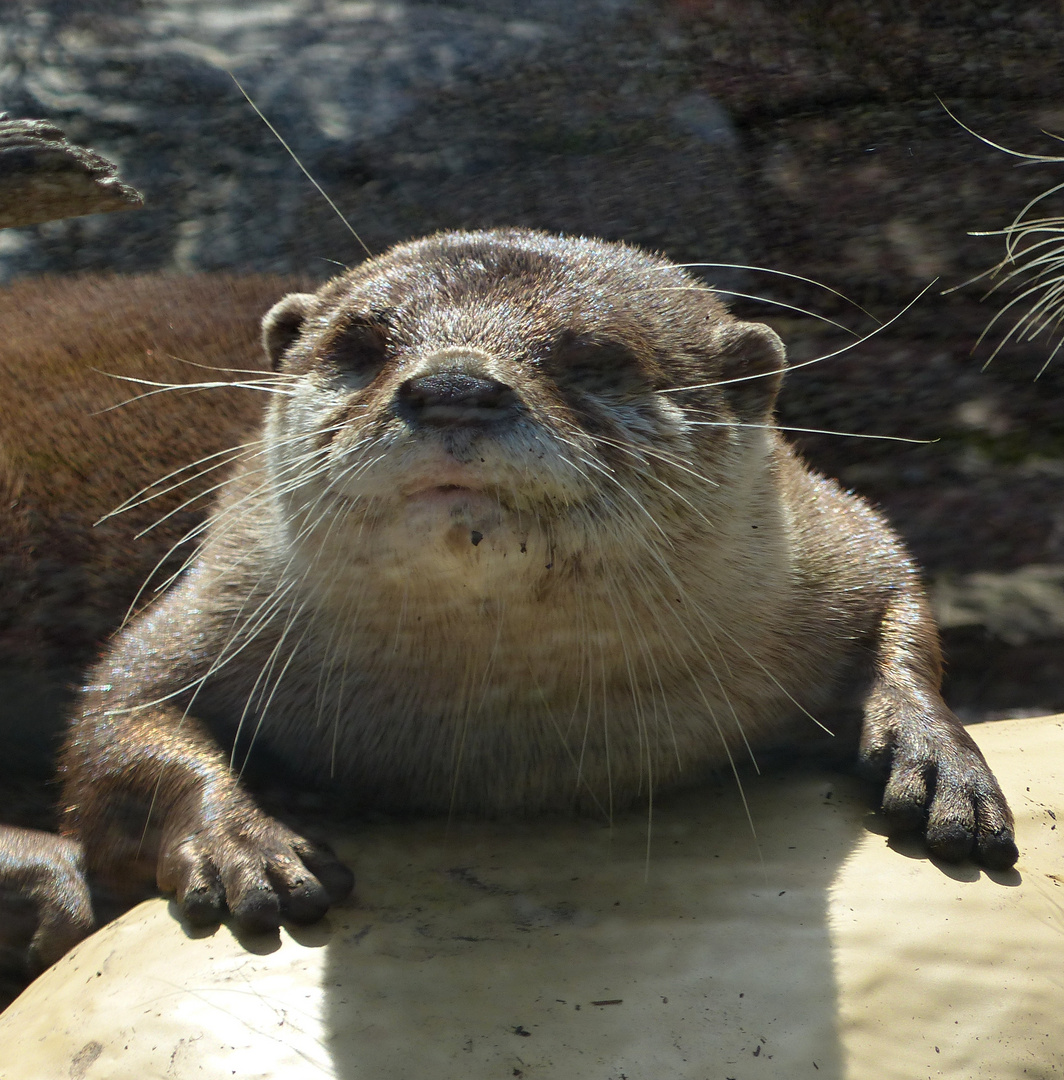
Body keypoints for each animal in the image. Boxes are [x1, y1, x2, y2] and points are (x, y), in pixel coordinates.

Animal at [10, 227, 1019, 954]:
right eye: (360, 345)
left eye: (590, 357)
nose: (454, 385)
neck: (504, 736)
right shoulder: (211, 599)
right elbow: (117, 725)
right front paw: (244, 846)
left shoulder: (833, 548)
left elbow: (900, 602)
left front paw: (936, 759)